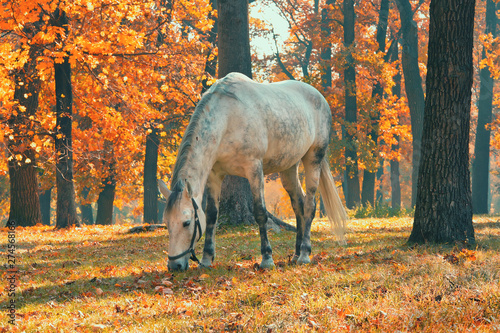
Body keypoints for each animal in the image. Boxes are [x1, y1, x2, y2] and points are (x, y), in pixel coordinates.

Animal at [158, 72, 346, 270]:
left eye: (186, 223)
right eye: (167, 223)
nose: (174, 266)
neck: (227, 117)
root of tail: (320, 97)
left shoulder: (254, 168)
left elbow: (260, 212)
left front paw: (267, 258)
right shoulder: (214, 175)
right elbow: (211, 215)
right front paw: (207, 259)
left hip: (313, 158)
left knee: (309, 205)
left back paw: (304, 254)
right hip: (288, 168)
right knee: (299, 205)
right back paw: (295, 254)